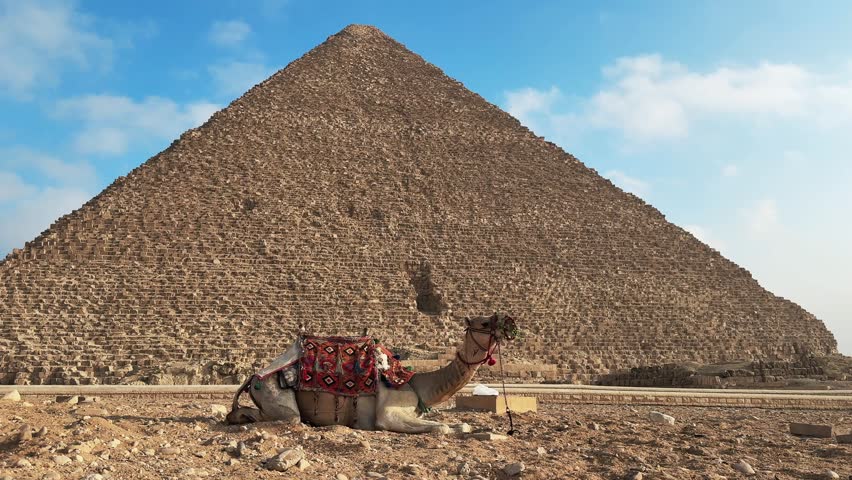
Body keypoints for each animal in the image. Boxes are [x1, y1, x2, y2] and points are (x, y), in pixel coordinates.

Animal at [226, 313, 518, 434]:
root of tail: (252, 378)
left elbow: (460, 424)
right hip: (276, 396)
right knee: (285, 418)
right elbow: (444, 427)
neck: (416, 384)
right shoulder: (388, 415)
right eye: (484, 322)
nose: (511, 324)